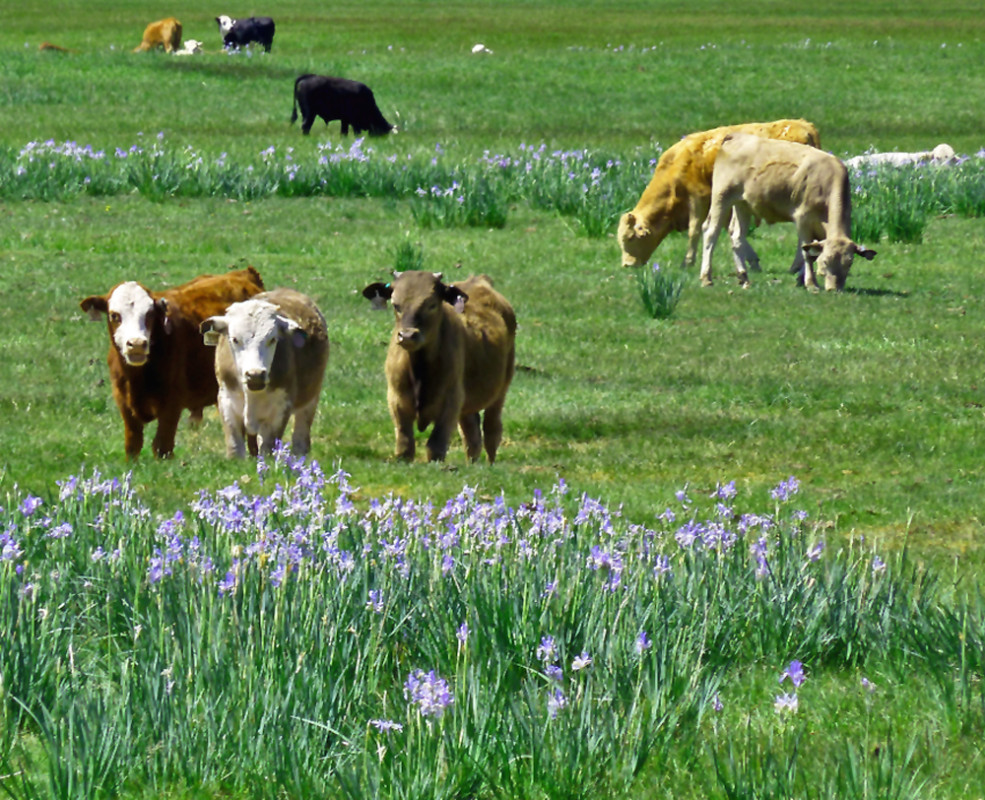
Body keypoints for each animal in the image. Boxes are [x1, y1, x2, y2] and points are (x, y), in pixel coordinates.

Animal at [80, 268, 266, 456]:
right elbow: (132, 446)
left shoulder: (171, 406)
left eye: (149, 314)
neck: (137, 377)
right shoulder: (126, 407)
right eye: (114, 315)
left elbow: (162, 447)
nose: (137, 344)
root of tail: (243, 273)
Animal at [200, 290, 330, 460]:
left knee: (301, 437)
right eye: (235, 339)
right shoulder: (226, 401)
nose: (255, 375)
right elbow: (235, 448)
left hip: (311, 399)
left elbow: (268, 449)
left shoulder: (280, 410)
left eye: (273, 339)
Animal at [362, 274, 516, 466]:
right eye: (396, 305)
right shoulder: (396, 398)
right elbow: (405, 446)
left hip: (501, 389)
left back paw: (490, 463)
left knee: (492, 429)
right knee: (471, 434)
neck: (420, 370)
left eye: (432, 304)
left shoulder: (451, 400)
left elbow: (436, 445)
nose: (407, 335)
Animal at [616, 118, 824, 268]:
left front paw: (687, 262)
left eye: (630, 238)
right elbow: (731, 229)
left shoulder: (698, 199)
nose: (627, 265)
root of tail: (804, 126)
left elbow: (694, 230)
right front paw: (752, 261)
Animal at [700, 133, 876, 292]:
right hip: (721, 197)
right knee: (711, 232)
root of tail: (736, 136)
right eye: (826, 261)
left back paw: (744, 277)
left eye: (849, 263)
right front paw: (811, 283)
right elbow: (807, 253)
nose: (834, 288)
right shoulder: (802, 218)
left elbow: (810, 250)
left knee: (736, 236)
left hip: (742, 204)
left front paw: (801, 279)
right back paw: (706, 278)